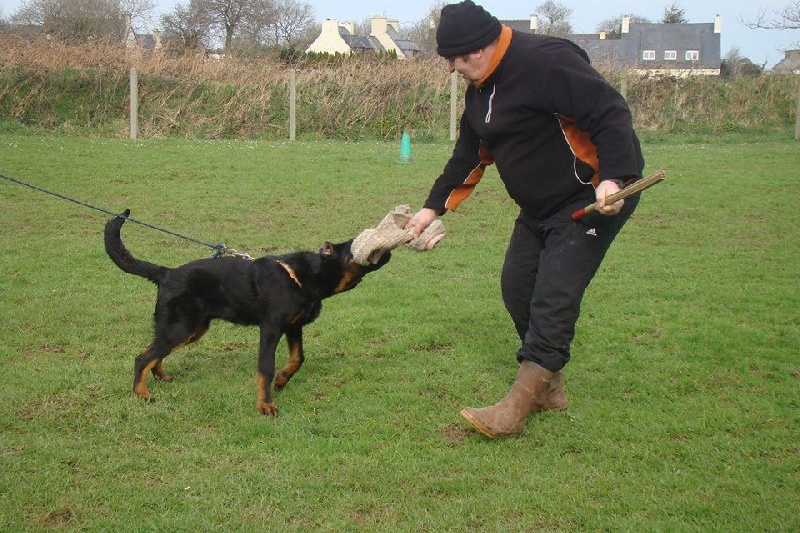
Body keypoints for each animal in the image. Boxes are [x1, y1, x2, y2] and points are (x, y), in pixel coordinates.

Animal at [103, 209, 390, 416]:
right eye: (358, 242)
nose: (387, 246)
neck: (306, 277)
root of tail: (166, 273)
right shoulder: (271, 328)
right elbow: (265, 367)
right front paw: (265, 405)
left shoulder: (294, 327)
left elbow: (298, 359)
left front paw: (282, 381)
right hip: (181, 327)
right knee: (142, 358)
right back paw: (142, 394)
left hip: (190, 329)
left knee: (154, 355)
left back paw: (161, 377)